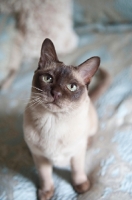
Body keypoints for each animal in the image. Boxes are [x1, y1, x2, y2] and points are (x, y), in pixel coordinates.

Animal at [23, 38, 108, 200]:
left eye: (72, 87)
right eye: (48, 78)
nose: (55, 93)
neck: (52, 121)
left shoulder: (77, 155)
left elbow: (77, 171)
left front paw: (82, 187)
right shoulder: (41, 159)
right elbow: (45, 177)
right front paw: (45, 193)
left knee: (90, 136)